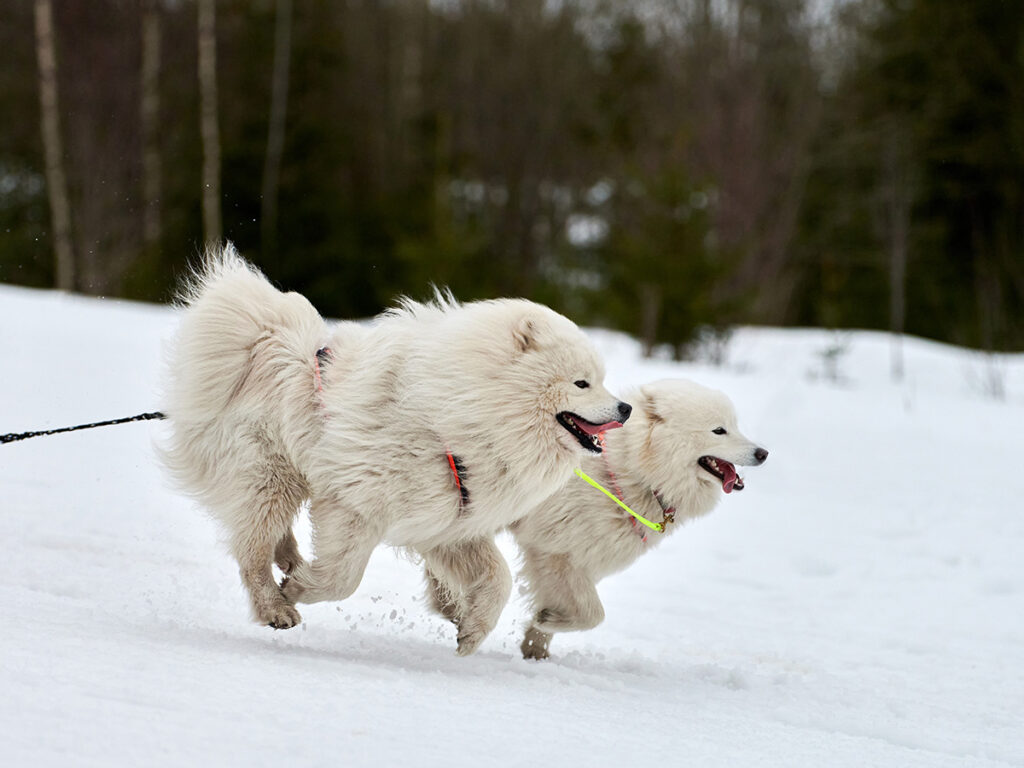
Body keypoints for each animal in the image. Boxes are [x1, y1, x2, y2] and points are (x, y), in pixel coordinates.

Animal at [160, 246, 626, 655]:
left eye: (601, 380)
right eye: (582, 383)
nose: (626, 408)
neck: (461, 412)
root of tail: (265, 340)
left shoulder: (450, 520)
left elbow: (500, 579)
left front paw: (470, 632)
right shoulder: (356, 503)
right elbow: (344, 577)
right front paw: (300, 590)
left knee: (267, 535)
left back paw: (289, 559)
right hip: (270, 477)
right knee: (251, 551)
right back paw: (275, 606)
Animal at [507, 378, 765, 663]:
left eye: (735, 426)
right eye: (719, 430)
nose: (763, 453)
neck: (633, 470)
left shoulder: (580, 558)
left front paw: (536, 646)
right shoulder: (553, 550)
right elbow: (594, 614)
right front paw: (546, 620)